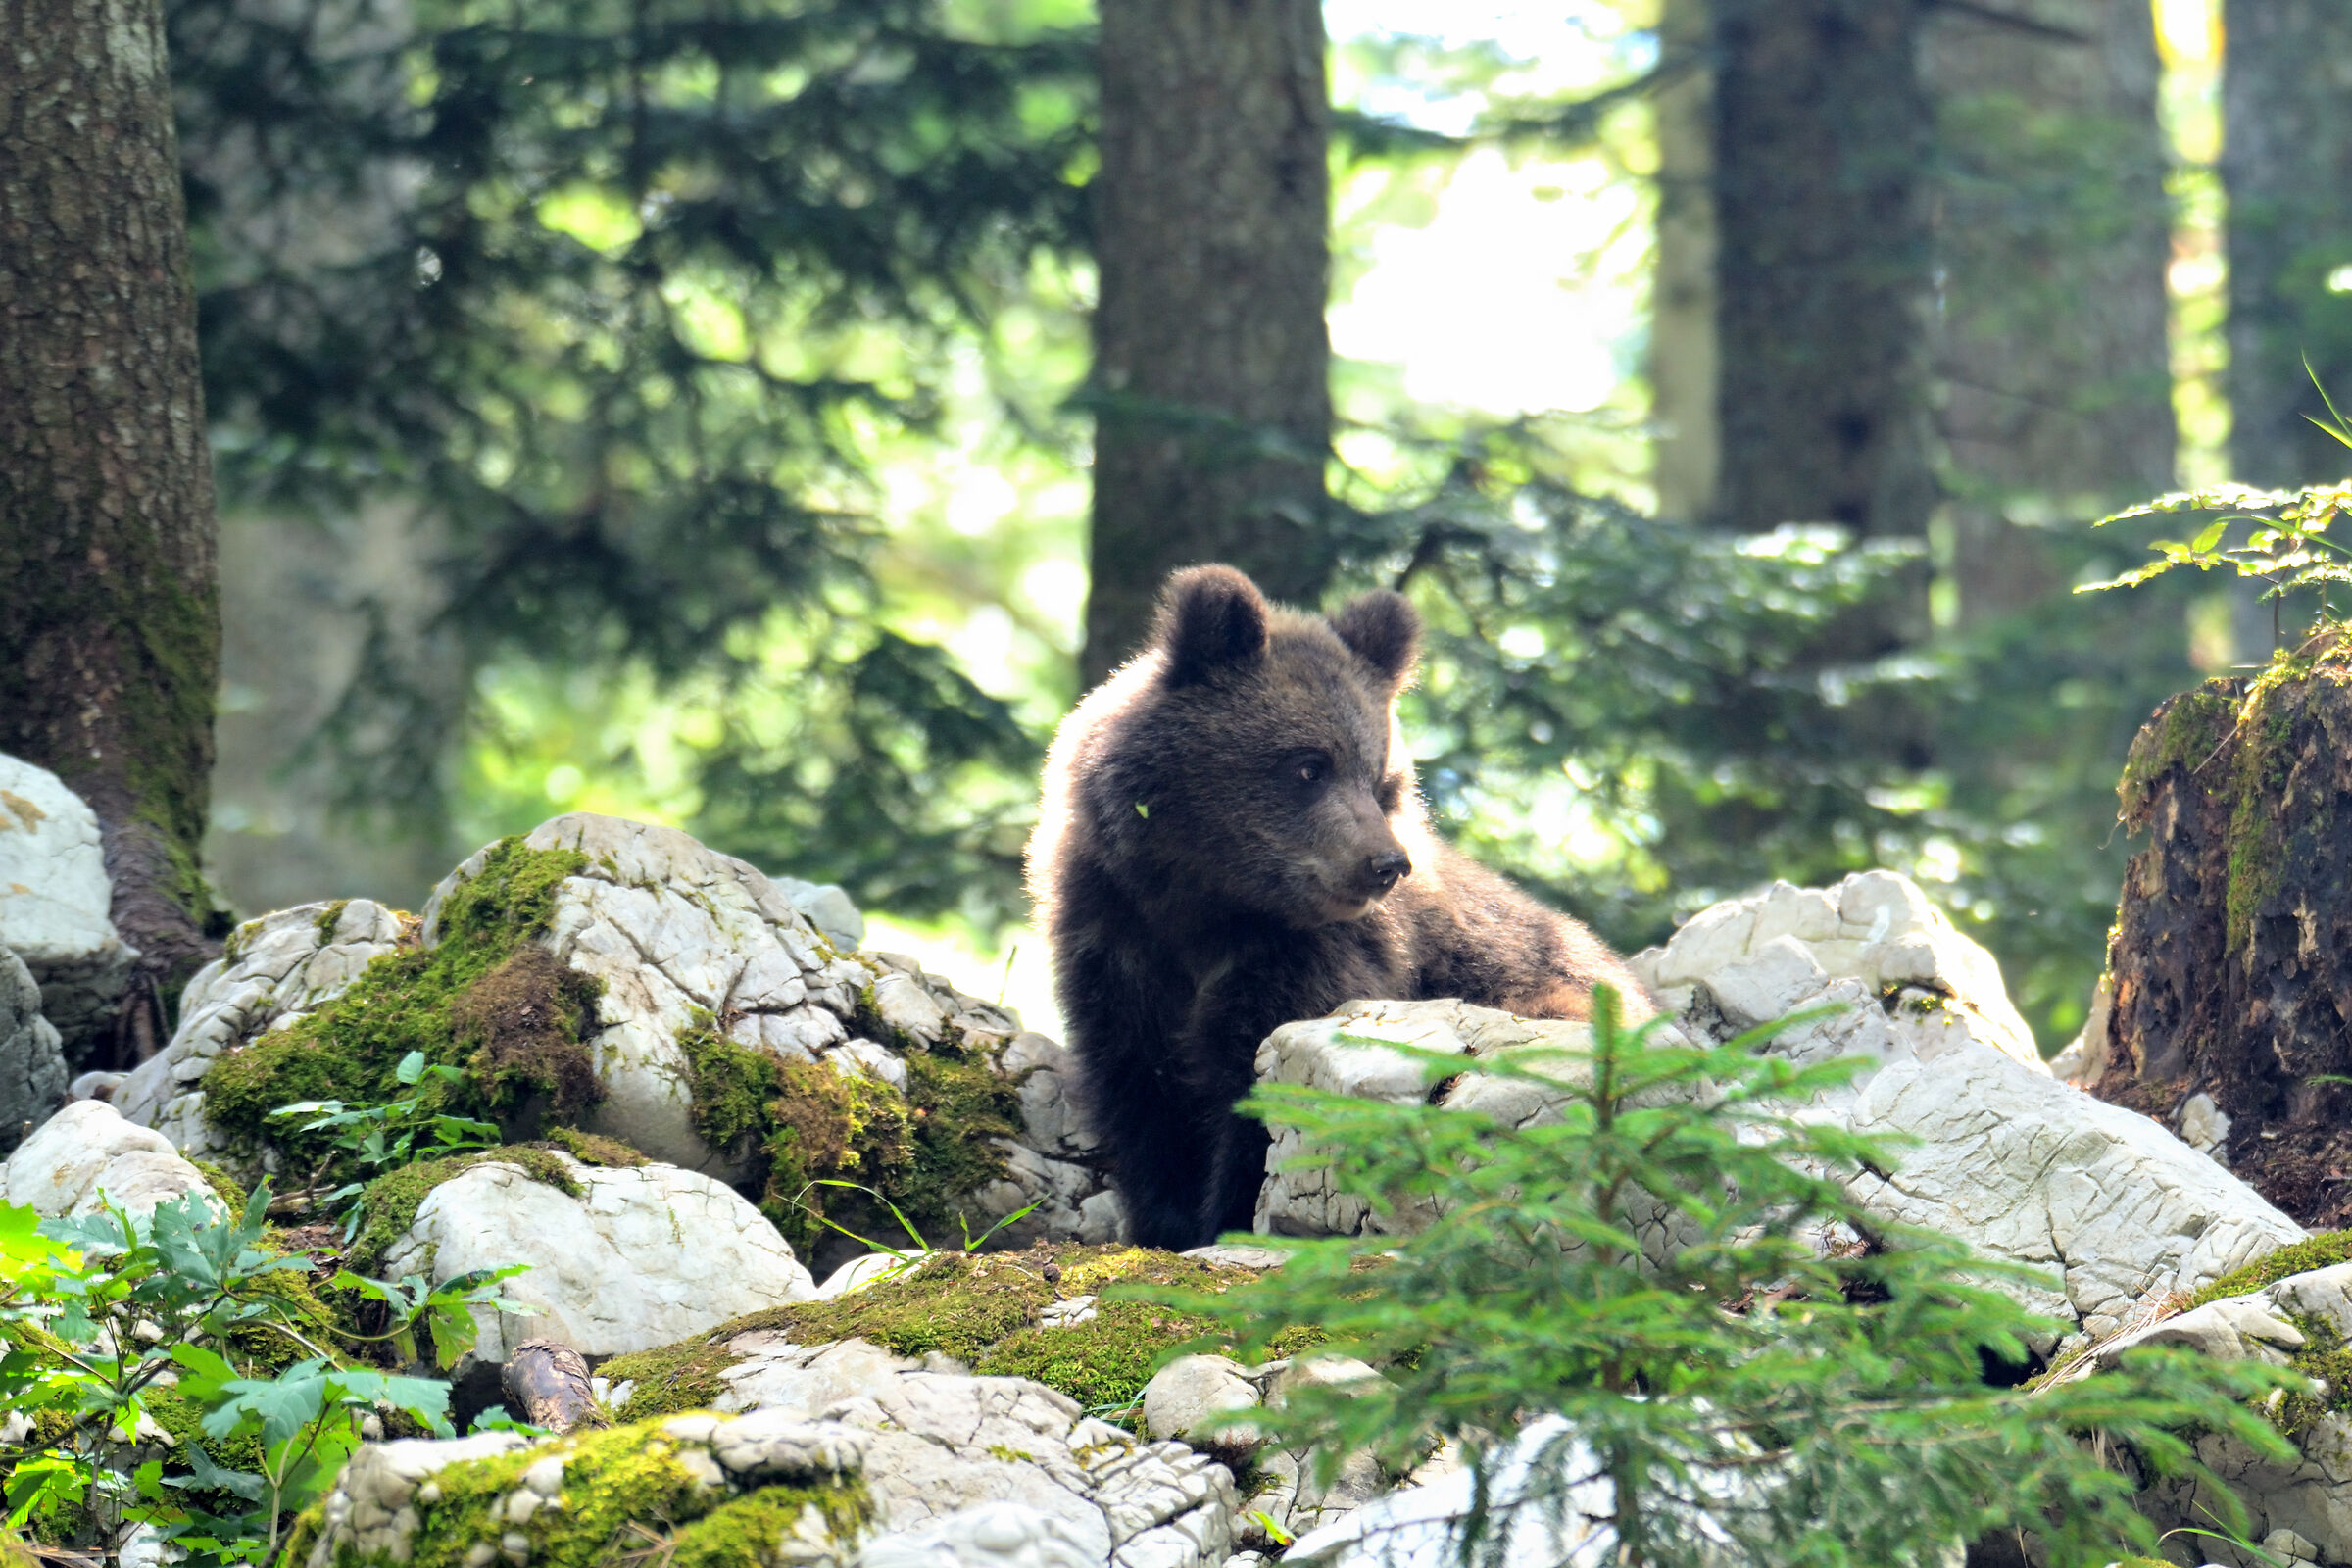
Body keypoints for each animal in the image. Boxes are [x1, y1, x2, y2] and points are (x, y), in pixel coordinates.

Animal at [1026, 563, 1652, 1250]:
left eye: (1380, 781)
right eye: (1309, 766)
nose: (1386, 863)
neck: (1205, 904)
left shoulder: (1313, 960)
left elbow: (1260, 1097)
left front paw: (1230, 1219)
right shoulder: (1116, 939)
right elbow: (1141, 1091)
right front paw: (1163, 1221)